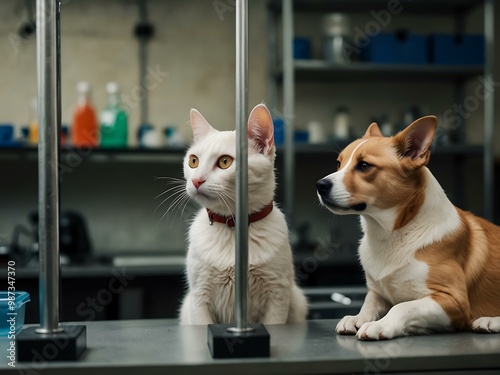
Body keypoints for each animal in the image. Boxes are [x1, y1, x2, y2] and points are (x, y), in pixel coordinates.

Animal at [178, 104, 306, 324]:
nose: (196, 180)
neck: (232, 224)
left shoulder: (278, 295)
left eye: (225, 162)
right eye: (193, 161)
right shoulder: (199, 296)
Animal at [316, 117, 500, 340]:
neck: (392, 234)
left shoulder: (453, 299)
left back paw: (489, 321)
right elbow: (369, 302)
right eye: (338, 163)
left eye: (364, 165)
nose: (320, 185)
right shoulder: (379, 292)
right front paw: (357, 318)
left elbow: (402, 307)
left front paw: (380, 325)